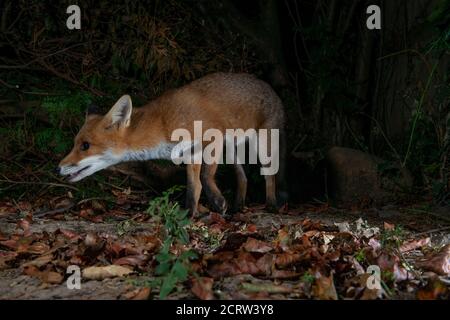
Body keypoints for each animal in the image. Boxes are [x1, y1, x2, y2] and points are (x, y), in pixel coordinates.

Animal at [58, 72, 286, 216]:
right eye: (75, 143)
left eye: (85, 146)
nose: (57, 168)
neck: (162, 124)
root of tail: (269, 87)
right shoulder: (192, 153)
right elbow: (194, 187)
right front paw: (190, 215)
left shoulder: (212, 138)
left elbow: (205, 177)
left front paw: (216, 202)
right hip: (231, 152)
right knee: (243, 178)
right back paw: (239, 206)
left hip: (262, 146)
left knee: (270, 175)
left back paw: (271, 205)